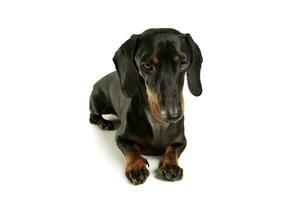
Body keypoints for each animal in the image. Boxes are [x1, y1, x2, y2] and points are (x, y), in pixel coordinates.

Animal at [89, 27, 202, 184]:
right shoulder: (120, 138)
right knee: (93, 115)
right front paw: (136, 166)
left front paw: (171, 166)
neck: (158, 124)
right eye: (147, 65)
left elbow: (172, 150)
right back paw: (103, 123)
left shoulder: (181, 141)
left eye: (183, 64)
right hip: (98, 101)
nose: (173, 115)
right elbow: (132, 149)